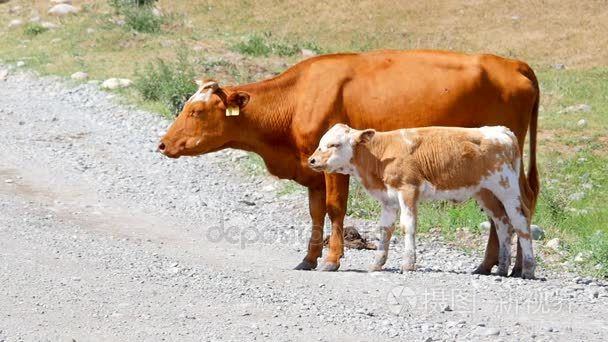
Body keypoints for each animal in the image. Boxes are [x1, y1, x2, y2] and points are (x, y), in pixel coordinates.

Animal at [308, 124, 536, 280]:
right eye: (320, 144)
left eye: (334, 144)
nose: (312, 160)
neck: (380, 155)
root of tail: (500, 130)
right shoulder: (388, 199)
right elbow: (385, 229)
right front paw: (377, 264)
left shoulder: (408, 189)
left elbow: (407, 226)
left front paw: (408, 263)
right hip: (486, 193)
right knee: (502, 223)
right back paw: (502, 268)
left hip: (507, 188)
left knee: (520, 222)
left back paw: (528, 269)